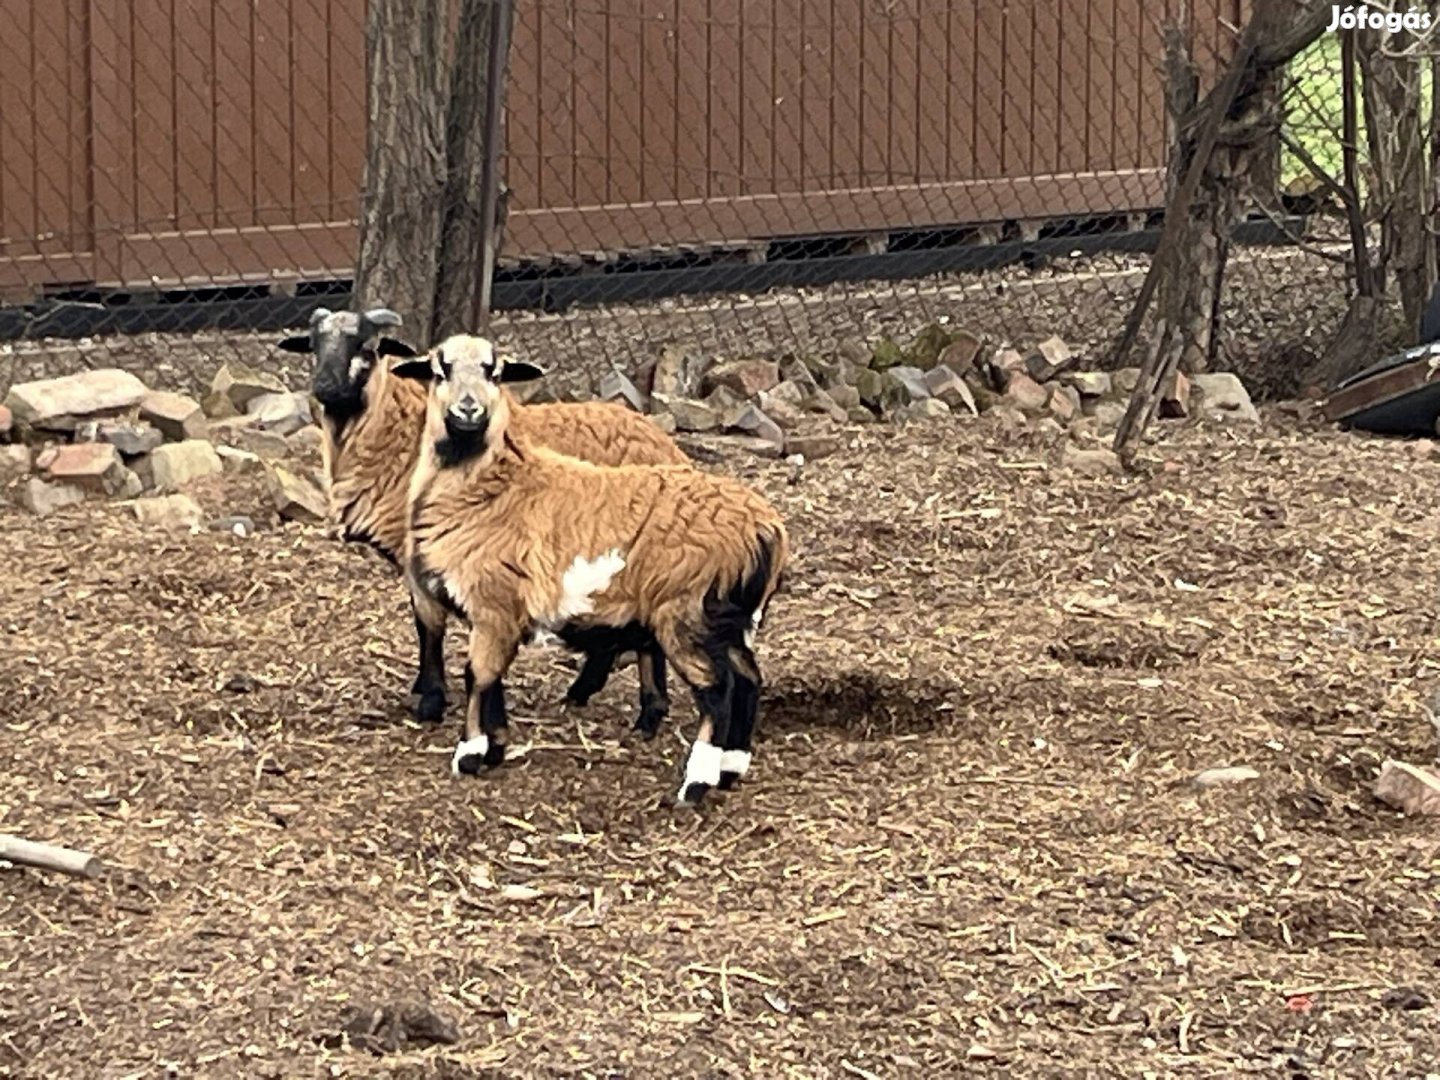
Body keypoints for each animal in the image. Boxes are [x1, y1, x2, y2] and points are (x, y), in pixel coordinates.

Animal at [279, 308, 691, 743]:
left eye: (367, 347)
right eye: (314, 344)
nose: (324, 387)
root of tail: (669, 447)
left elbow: (429, 626)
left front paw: (431, 700)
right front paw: (425, 691)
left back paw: (644, 711)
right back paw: (592, 694)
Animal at [397, 334, 789, 806]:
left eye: (495, 371)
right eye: (441, 370)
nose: (469, 410)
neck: (491, 483)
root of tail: (765, 528)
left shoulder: (493, 603)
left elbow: (479, 675)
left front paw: (469, 754)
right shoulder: (502, 612)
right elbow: (493, 679)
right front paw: (495, 747)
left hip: (686, 610)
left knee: (717, 689)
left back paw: (695, 783)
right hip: (731, 617)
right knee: (748, 678)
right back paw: (731, 768)